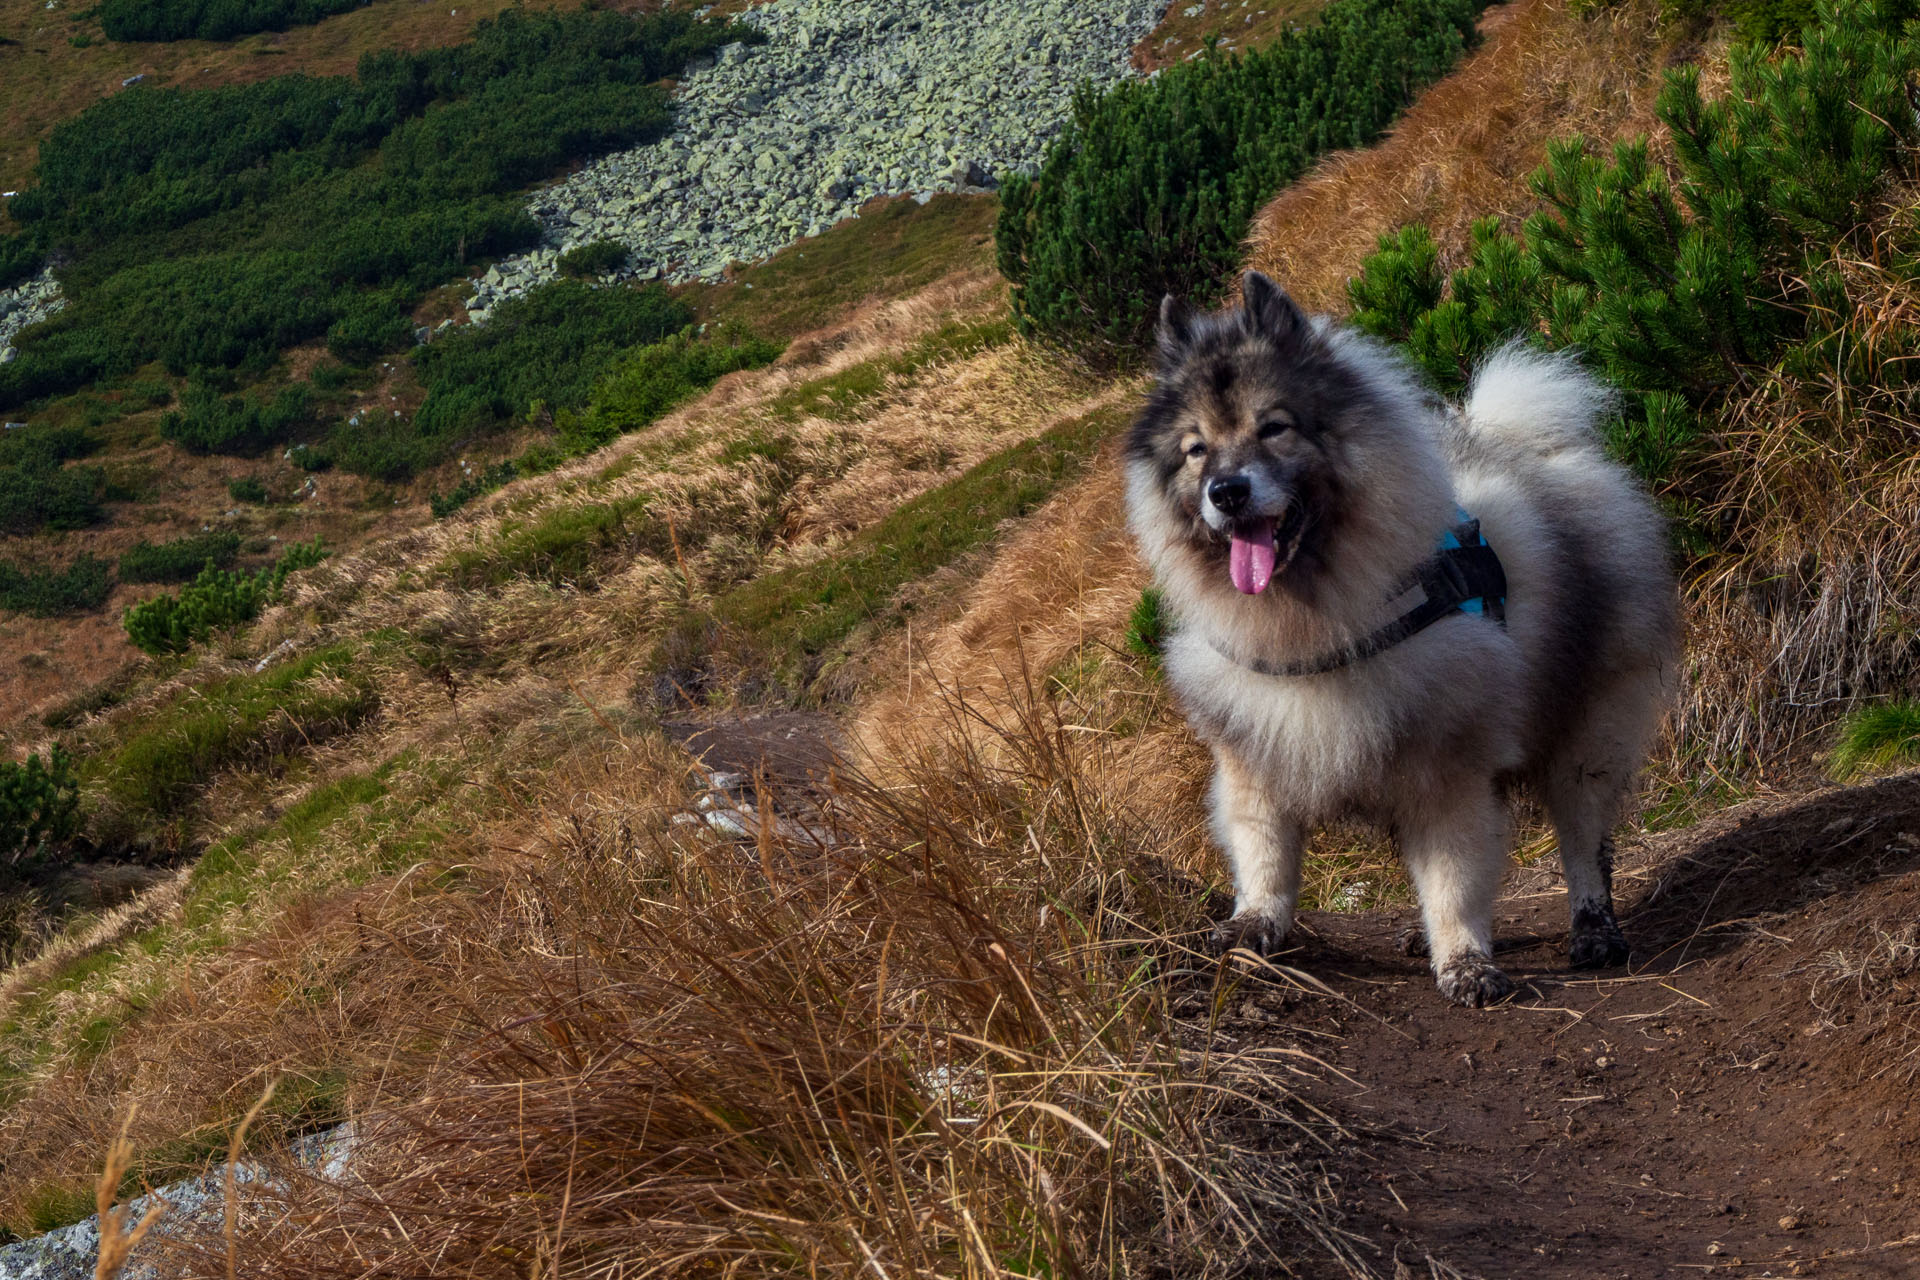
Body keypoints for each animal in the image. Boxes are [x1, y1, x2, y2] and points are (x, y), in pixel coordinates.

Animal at [1121, 272, 1681, 1013]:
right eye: (1195, 449)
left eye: (1274, 428)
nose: (1227, 492)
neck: (1317, 617)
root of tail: (1530, 448)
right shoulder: (1257, 755)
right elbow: (1265, 856)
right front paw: (1252, 926)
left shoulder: (1446, 768)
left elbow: (1453, 874)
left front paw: (1465, 961)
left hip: (1586, 734)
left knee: (1584, 840)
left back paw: (1594, 931)